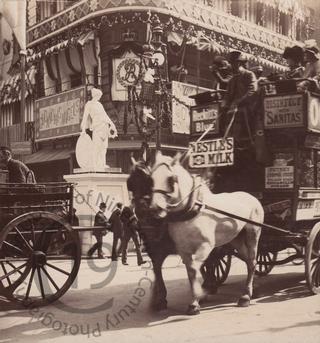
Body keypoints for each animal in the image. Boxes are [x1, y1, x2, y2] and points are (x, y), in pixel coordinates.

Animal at [149, 152, 262, 316]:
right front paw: (196, 300)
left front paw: (199, 295)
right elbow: (190, 271)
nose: (155, 208)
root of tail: (252, 197)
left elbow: (194, 270)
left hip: (253, 233)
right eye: (151, 179)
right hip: (236, 239)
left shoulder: (206, 246)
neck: (192, 210)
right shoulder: (183, 250)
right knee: (248, 261)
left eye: (171, 179)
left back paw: (246, 296)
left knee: (252, 261)